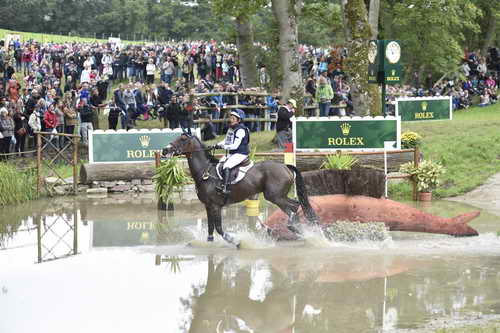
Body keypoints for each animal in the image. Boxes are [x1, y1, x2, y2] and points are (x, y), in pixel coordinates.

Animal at [162, 132, 318, 246]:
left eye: (182, 139)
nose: (164, 150)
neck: (205, 172)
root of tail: (285, 166)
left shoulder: (215, 206)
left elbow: (219, 228)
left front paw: (235, 241)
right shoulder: (208, 206)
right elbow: (211, 228)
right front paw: (209, 243)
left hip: (275, 196)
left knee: (294, 206)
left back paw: (294, 227)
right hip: (277, 196)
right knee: (295, 206)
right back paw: (300, 232)